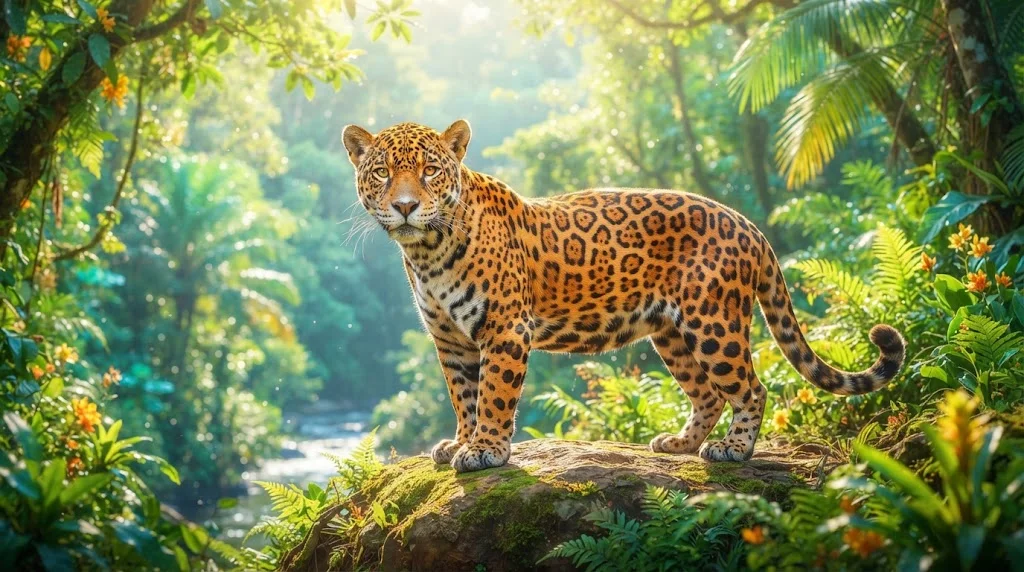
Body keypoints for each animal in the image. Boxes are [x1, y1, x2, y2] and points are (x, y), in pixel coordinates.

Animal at [341, 119, 906, 473]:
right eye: (383, 172)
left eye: (431, 171)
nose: (406, 206)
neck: (426, 249)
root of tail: (749, 225)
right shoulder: (450, 339)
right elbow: (463, 394)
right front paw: (461, 441)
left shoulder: (504, 330)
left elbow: (495, 395)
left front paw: (486, 451)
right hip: (672, 333)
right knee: (707, 394)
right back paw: (680, 444)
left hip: (714, 324)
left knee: (751, 388)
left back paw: (732, 450)